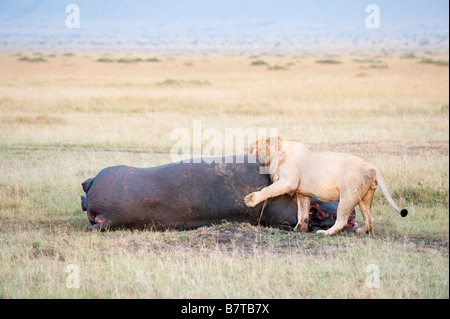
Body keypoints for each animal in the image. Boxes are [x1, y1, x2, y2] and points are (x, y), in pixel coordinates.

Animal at [246, 136, 408, 236]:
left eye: (253, 148)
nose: (247, 152)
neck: (277, 152)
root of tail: (372, 166)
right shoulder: (303, 193)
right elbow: (302, 212)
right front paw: (300, 228)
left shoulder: (288, 181)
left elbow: (267, 190)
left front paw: (250, 200)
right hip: (364, 197)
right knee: (370, 219)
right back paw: (361, 231)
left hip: (348, 195)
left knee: (342, 220)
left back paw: (325, 233)